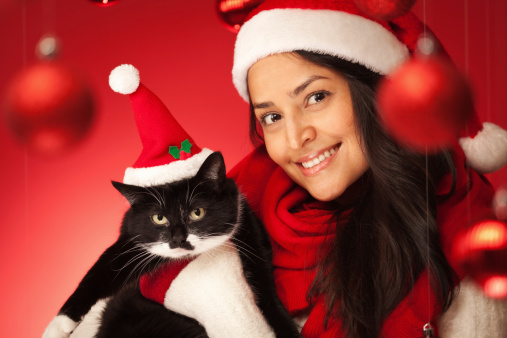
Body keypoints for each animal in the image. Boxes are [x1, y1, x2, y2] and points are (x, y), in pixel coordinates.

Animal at [43, 153, 300, 338]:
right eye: (159, 218)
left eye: (197, 212)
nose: (177, 239)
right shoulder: (131, 239)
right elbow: (102, 269)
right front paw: (58, 326)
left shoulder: (246, 222)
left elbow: (264, 284)